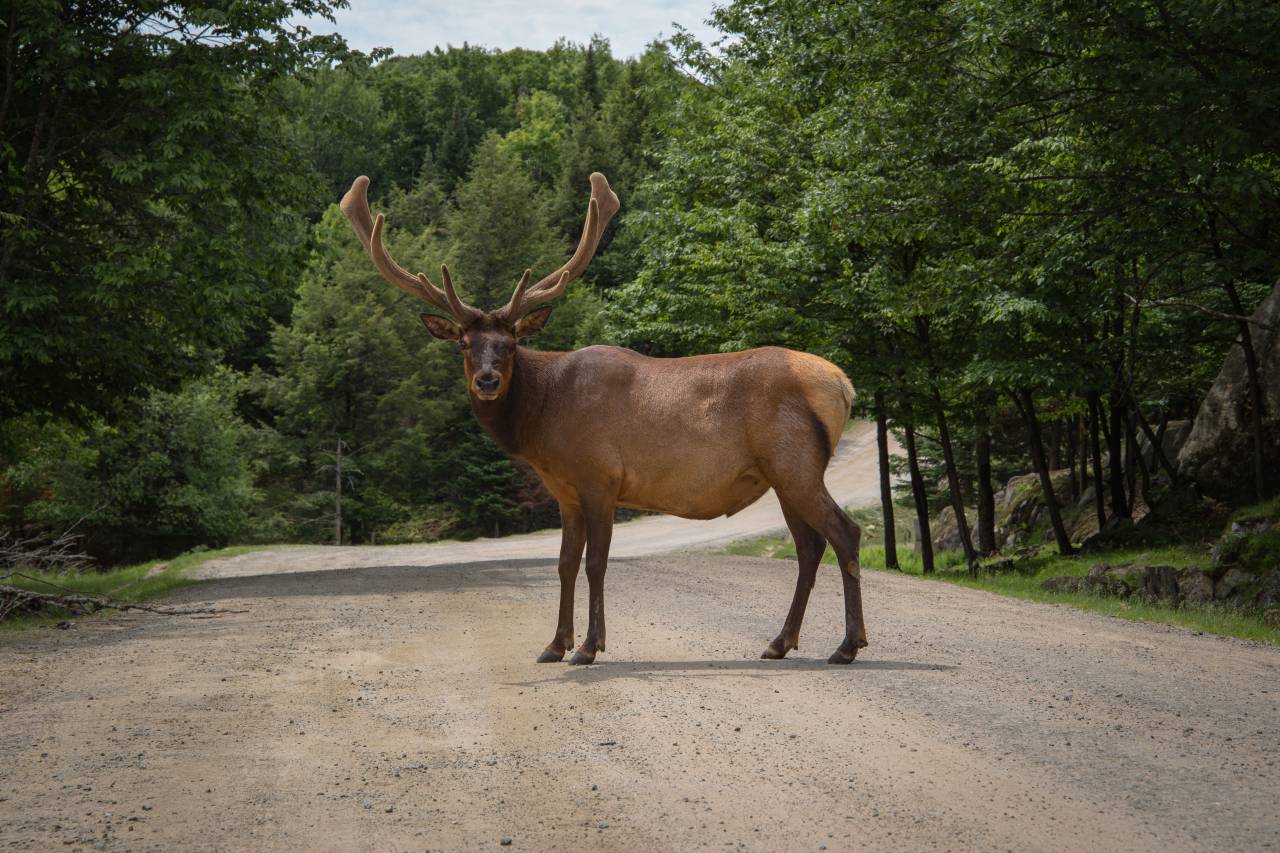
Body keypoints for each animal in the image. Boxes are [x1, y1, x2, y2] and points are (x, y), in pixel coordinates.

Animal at [340, 172, 865, 666]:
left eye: (511, 342)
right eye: (465, 344)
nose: (487, 381)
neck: (542, 424)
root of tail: (843, 384)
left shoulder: (601, 477)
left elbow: (596, 563)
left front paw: (590, 646)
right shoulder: (565, 493)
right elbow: (564, 563)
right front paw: (554, 644)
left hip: (795, 463)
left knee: (844, 532)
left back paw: (848, 644)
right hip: (782, 474)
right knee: (809, 546)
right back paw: (780, 642)